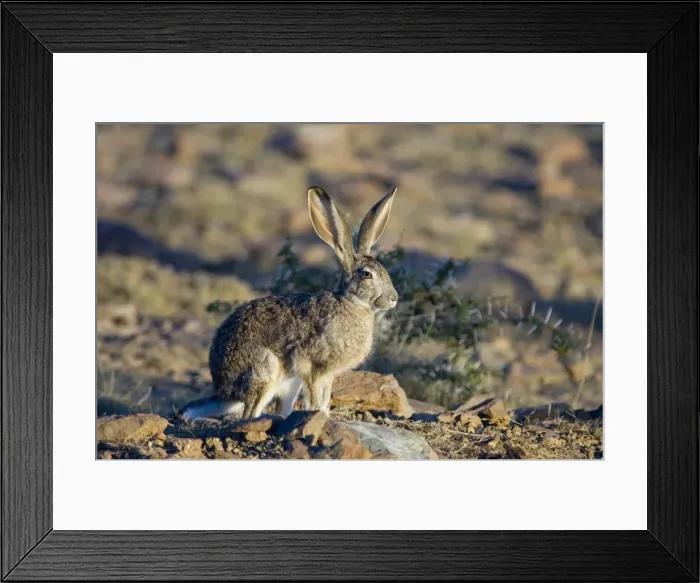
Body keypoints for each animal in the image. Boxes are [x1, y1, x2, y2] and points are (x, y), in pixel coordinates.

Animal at [179, 185, 399, 421]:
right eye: (367, 274)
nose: (394, 298)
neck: (351, 302)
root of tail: (224, 392)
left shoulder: (328, 375)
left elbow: (325, 400)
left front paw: (326, 418)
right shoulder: (311, 367)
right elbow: (315, 400)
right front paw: (318, 417)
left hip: (289, 384)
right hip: (266, 369)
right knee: (250, 413)